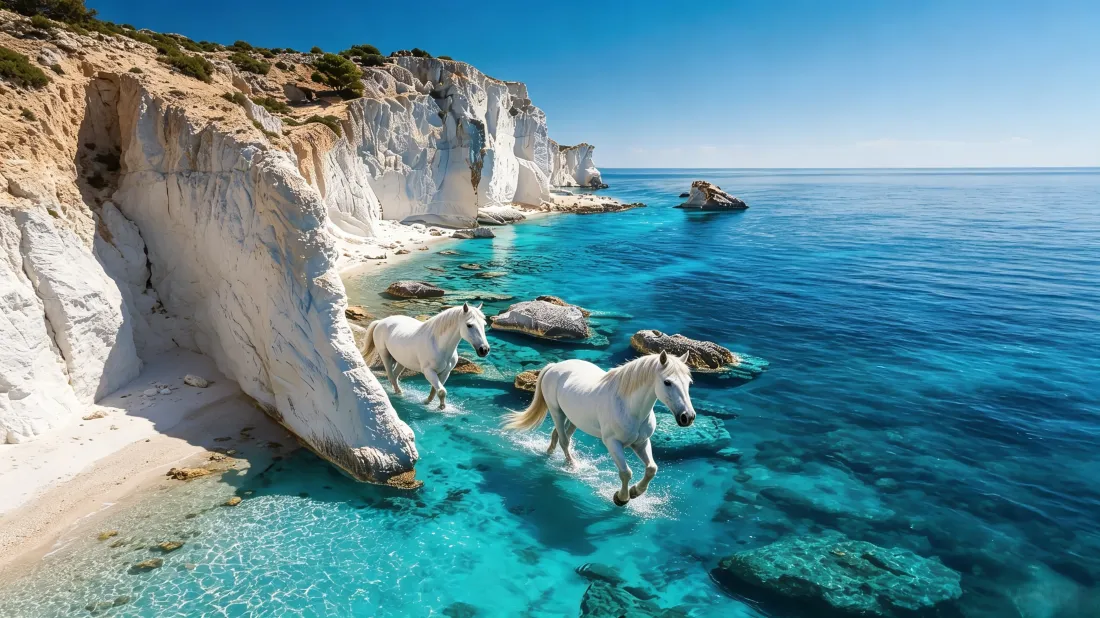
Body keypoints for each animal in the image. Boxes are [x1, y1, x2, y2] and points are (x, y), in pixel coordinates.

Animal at [360, 302, 490, 409]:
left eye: (484, 324)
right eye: (469, 325)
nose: (484, 349)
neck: (439, 345)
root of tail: (381, 321)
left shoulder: (445, 373)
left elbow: (435, 390)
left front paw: (428, 402)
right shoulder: (428, 372)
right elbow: (441, 391)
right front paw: (439, 407)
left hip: (401, 361)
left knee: (395, 377)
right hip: (385, 356)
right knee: (391, 376)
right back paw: (399, 394)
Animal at [504, 351, 696, 506]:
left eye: (689, 383)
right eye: (667, 382)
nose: (687, 417)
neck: (629, 407)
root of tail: (554, 366)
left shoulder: (641, 443)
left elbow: (651, 469)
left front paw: (636, 492)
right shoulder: (612, 443)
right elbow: (626, 472)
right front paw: (621, 498)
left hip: (573, 418)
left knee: (558, 436)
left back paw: (550, 453)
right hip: (556, 412)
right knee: (564, 441)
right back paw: (572, 465)